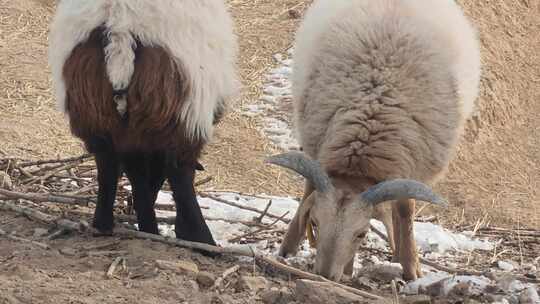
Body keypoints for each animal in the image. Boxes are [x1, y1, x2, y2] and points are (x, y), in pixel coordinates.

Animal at [47, 0, 237, 248]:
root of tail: (119, 30)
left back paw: (109, 226)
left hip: (96, 110)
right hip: (175, 112)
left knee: (110, 166)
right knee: (177, 172)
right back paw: (200, 239)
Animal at [268, 0, 484, 282]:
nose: (325, 276)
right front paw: (290, 246)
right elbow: (308, 189)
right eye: (314, 223)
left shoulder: (412, 169)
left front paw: (411, 267)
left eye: (362, 234)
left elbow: (405, 211)